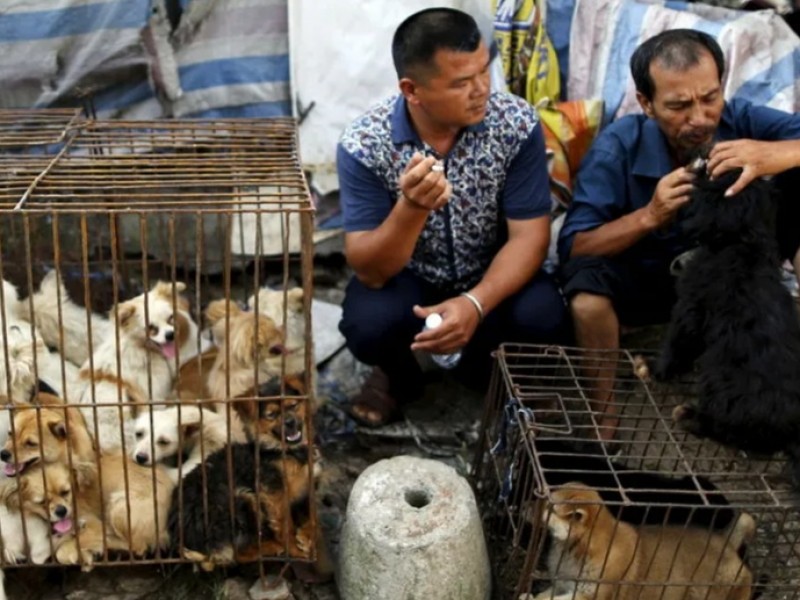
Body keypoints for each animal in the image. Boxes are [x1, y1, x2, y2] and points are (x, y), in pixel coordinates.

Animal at [528, 482, 752, 600]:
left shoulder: (590, 594)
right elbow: (545, 595)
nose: (526, 503)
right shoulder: (562, 584)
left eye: (549, 507)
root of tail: (728, 543)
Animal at [652, 168, 800, 478]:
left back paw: (689, 415)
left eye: (710, 177)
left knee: (721, 428)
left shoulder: (691, 304)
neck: (742, 243)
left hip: (720, 386)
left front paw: (654, 369)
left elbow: (677, 343)